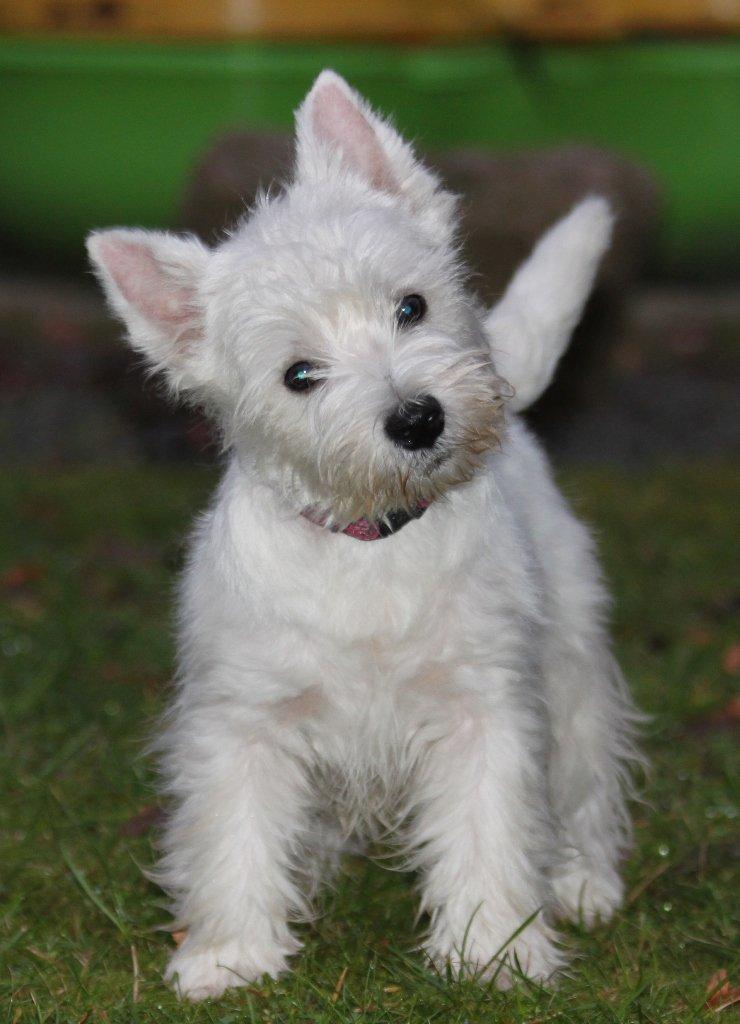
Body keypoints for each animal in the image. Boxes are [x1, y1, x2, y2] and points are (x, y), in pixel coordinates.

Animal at [88, 70, 642, 999]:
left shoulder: (481, 704)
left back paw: (581, 881)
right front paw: (228, 956)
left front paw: (492, 950)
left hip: (568, 654)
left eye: (411, 306)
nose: (418, 418)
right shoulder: (245, 717)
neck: (369, 542)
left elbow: (489, 830)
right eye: (299, 374)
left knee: (586, 770)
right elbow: (236, 834)